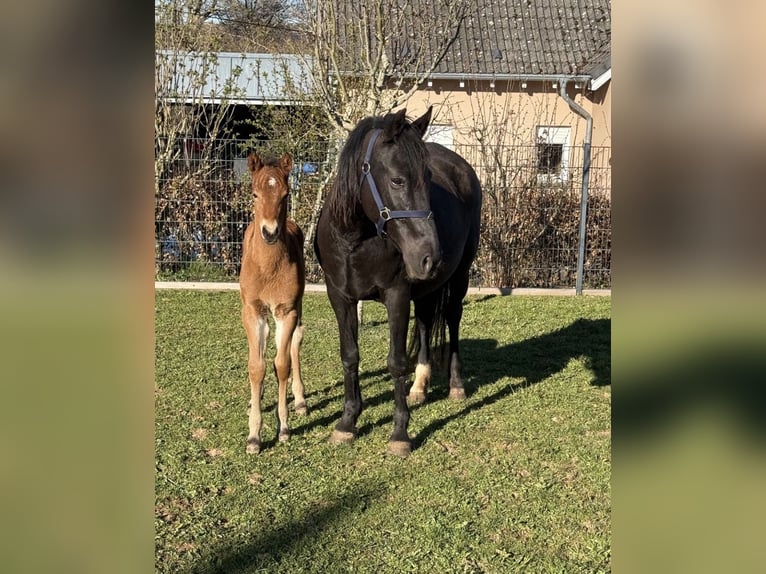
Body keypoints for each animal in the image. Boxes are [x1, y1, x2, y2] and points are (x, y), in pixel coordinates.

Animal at [314, 107, 483, 457]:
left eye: (429, 181)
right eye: (397, 180)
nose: (431, 256)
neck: (355, 240)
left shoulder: (396, 295)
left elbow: (396, 362)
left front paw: (400, 433)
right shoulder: (340, 297)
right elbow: (350, 356)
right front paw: (347, 422)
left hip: (458, 279)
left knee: (452, 320)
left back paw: (456, 386)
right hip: (426, 288)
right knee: (425, 322)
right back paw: (419, 387)